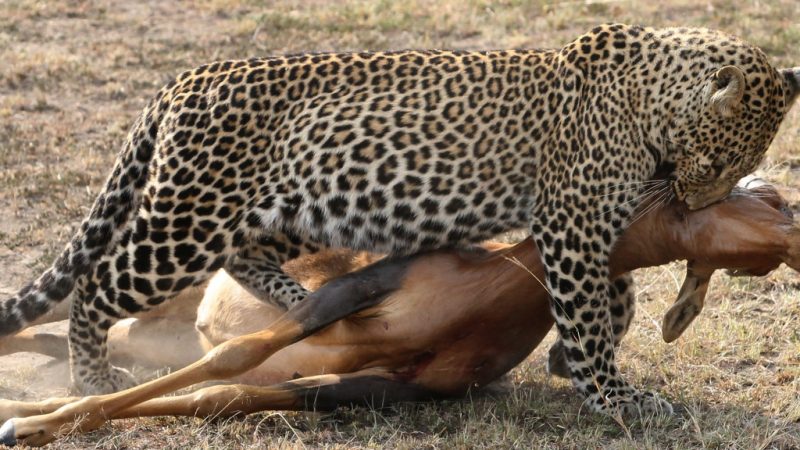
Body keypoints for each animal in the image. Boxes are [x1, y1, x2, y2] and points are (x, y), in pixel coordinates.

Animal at [1, 23, 798, 416]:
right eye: (714, 161)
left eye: (734, 167)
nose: (699, 205)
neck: (650, 99)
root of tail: (185, 77)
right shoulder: (572, 222)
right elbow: (589, 312)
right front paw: (612, 396)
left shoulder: (584, 226)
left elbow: (612, 297)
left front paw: (569, 360)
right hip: (188, 218)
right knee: (98, 285)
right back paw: (90, 378)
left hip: (308, 204)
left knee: (249, 258)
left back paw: (300, 302)